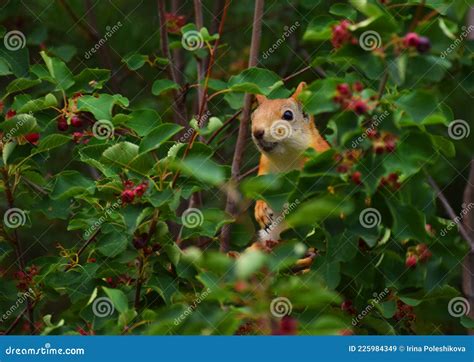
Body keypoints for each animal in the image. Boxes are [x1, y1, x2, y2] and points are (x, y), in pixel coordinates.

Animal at [250, 81, 332, 246]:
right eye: (253, 116)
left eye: (288, 115)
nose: (257, 132)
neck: (285, 159)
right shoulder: (265, 169)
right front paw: (260, 208)